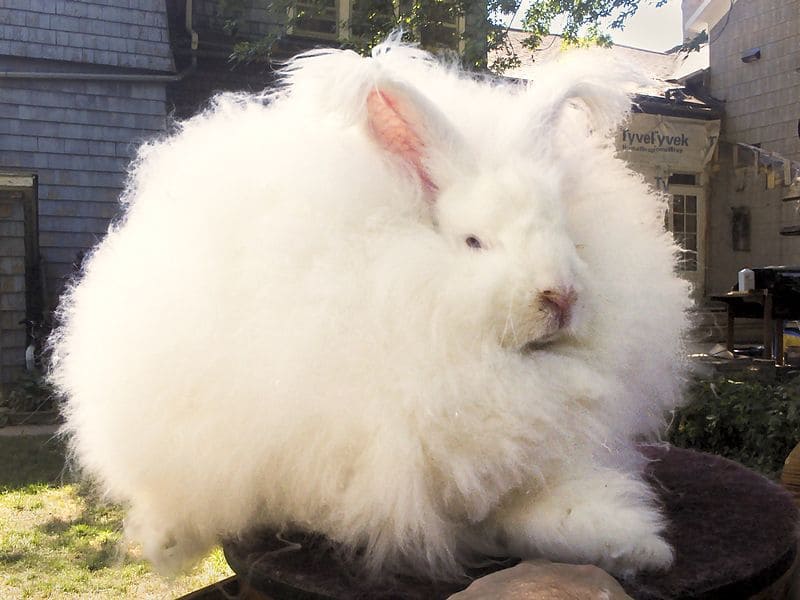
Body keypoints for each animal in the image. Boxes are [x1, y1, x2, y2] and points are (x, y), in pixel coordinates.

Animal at [48, 37, 688, 580]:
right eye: (474, 242)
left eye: (570, 237)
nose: (560, 295)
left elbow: (556, 512)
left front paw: (641, 547)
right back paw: (166, 540)